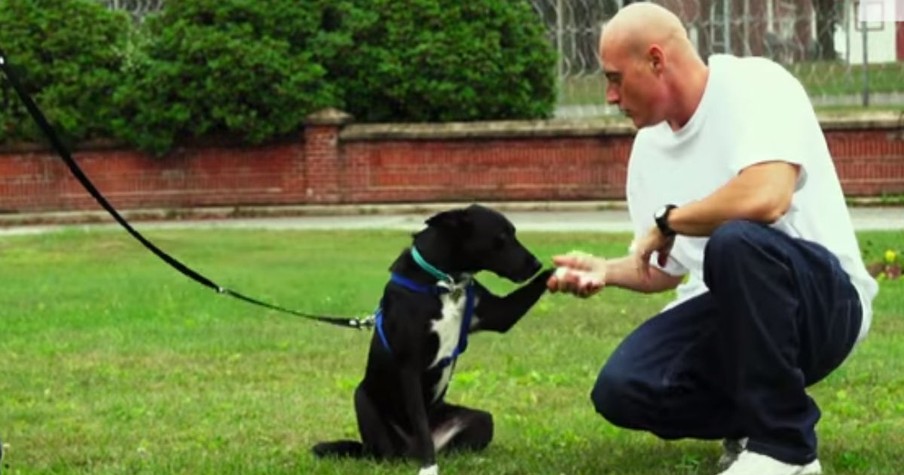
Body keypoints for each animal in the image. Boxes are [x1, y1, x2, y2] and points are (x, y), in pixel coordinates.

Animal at [310, 205, 552, 475]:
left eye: (513, 233)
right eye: (501, 237)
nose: (536, 263)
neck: (444, 282)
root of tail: (408, 451)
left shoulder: (498, 314)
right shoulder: (410, 368)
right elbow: (421, 426)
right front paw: (429, 468)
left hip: (481, 420)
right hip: (363, 401)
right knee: (389, 453)